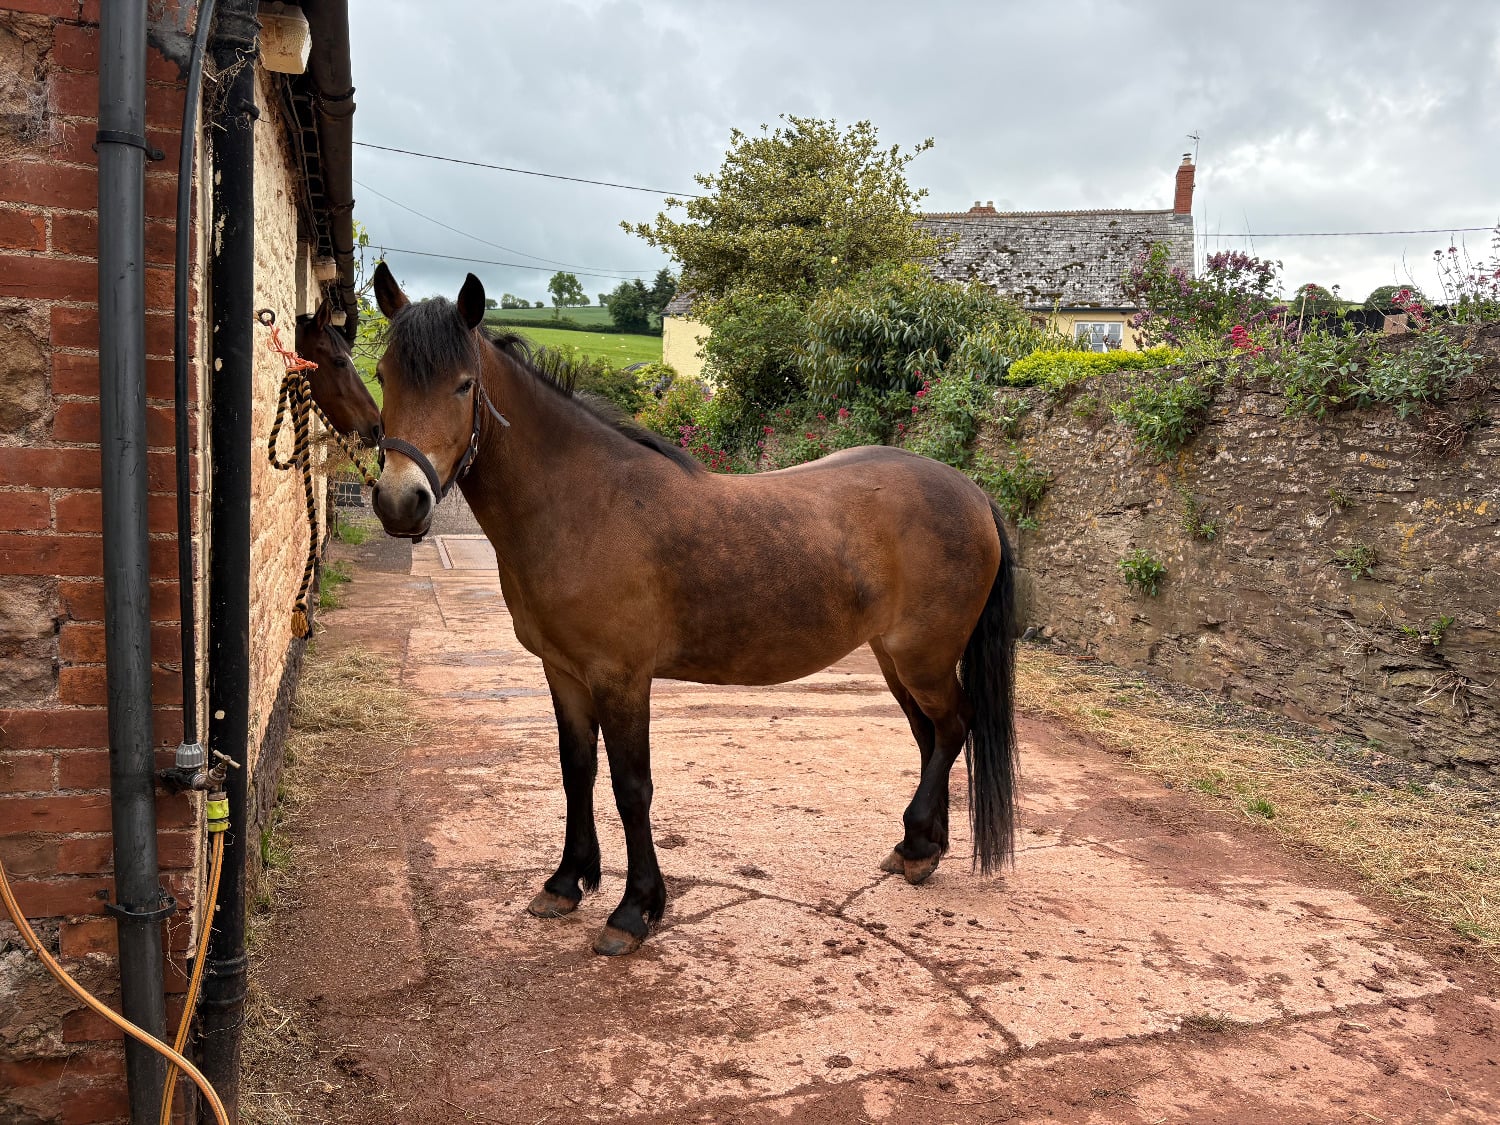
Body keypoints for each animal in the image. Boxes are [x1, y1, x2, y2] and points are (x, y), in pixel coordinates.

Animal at [367, 262, 1019, 957]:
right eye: (382, 375)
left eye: (464, 385)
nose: (400, 500)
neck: (583, 503)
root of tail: (972, 492)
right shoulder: (563, 672)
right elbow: (576, 772)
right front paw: (566, 882)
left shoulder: (622, 678)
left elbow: (631, 788)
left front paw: (634, 910)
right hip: (897, 660)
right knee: (931, 736)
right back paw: (919, 847)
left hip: (923, 657)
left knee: (954, 727)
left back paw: (921, 845)